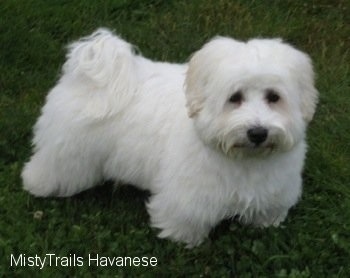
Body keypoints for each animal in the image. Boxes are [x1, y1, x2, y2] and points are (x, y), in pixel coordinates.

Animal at [21, 27, 318, 245]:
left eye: (274, 97)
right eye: (235, 97)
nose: (257, 132)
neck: (243, 157)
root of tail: (92, 74)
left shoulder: (274, 185)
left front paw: (265, 223)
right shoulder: (190, 192)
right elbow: (186, 215)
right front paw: (183, 238)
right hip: (68, 150)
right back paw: (38, 184)